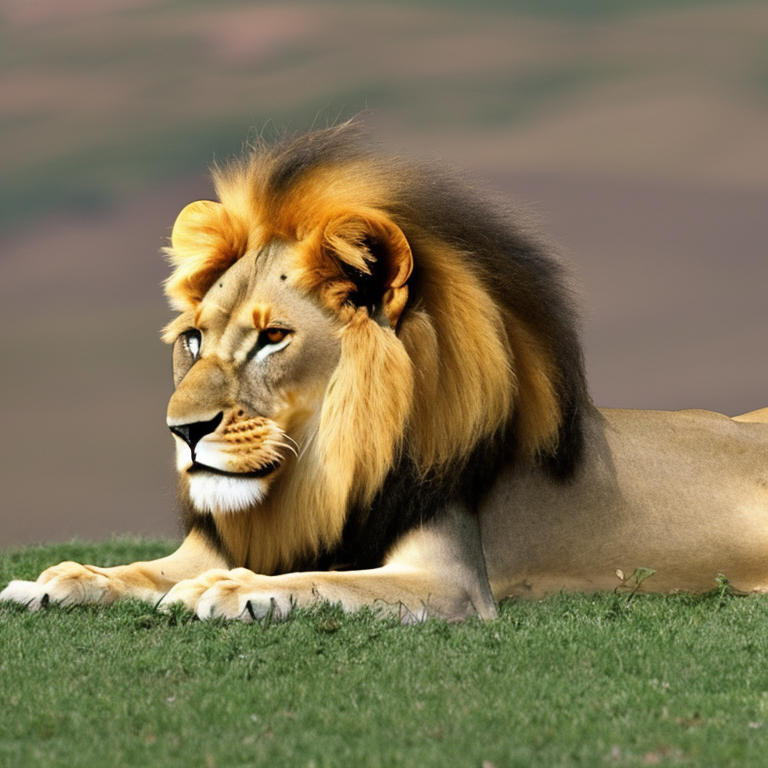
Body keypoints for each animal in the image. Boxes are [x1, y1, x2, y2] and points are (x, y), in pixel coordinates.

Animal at [2, 122, 768, 622]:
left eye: (272, 338)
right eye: (192, 340)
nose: (182, 431)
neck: (321, 472)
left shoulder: (453, 582)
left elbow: (326, 581)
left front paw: (228, 590)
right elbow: (133, 569)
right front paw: (55, 579)